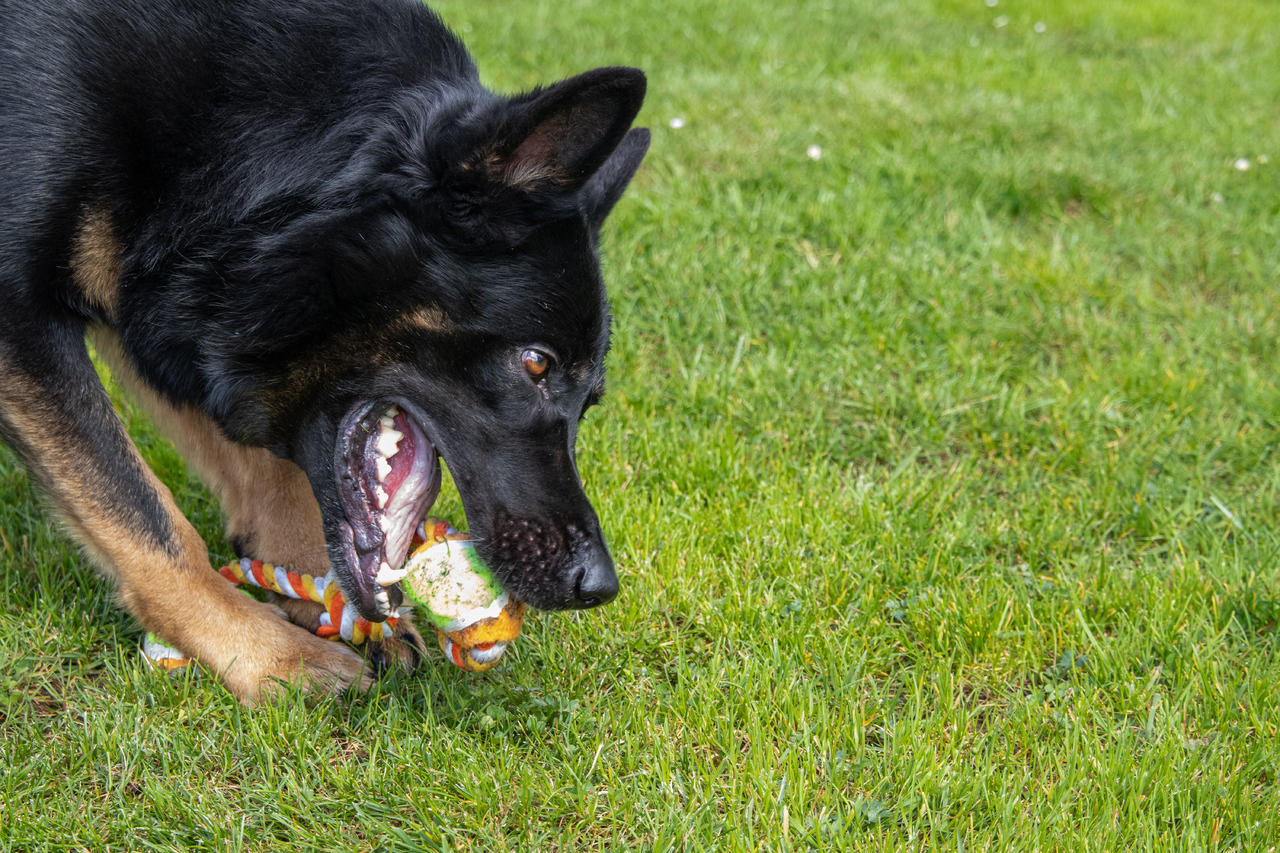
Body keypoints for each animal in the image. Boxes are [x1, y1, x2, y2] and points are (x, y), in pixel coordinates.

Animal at [0, 0, 645, 696]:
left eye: (590, 401)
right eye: (536, 363)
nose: (597, 586)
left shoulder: (159, 296)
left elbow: (270, 472)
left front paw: (308, 584)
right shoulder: (22, 318)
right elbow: (143, 513)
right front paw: (267, 654)